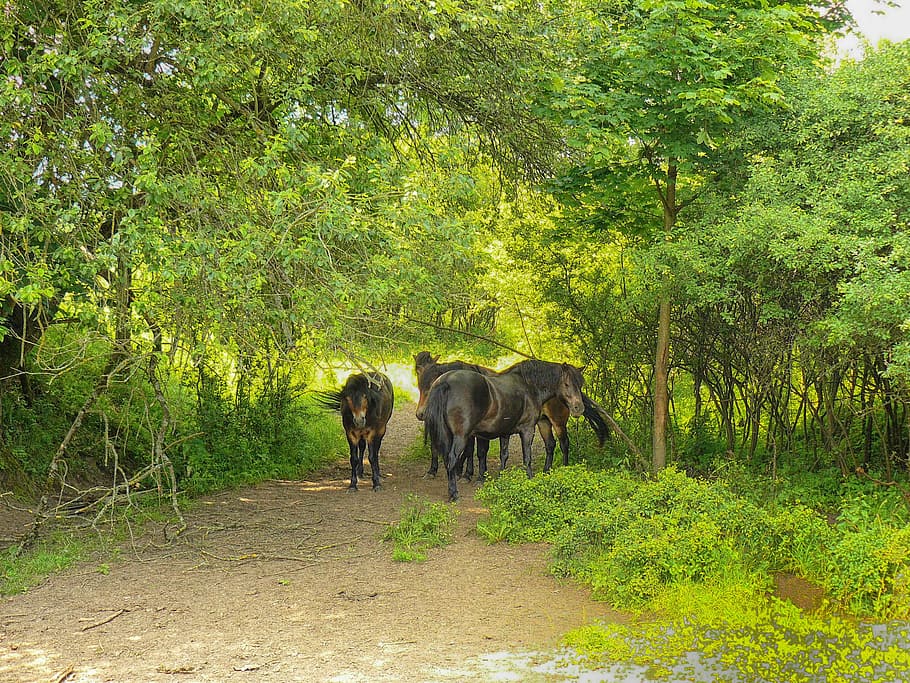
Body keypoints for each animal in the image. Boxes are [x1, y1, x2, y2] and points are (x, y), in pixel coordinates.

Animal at [414, 351, 610, 477]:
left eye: (579, 384)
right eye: (419, 380)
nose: (578, 407)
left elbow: (477, 451)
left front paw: (472, 474)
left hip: (557, 422)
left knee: (564, 444)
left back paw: (564, 468)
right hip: (544, 422)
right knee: (550, 445)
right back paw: (546, 471)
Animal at [423, 359, 585, 501]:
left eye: (580, 385)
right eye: (566, 384)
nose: (579, 408)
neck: (528, 386)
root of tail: (445, 382)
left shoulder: (505, 432)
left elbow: (504, 455)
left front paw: (501, 478)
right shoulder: (527, 429)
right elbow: (527, 457)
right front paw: (529, 478)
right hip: (460, 436)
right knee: (451, 459)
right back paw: (454, 494)